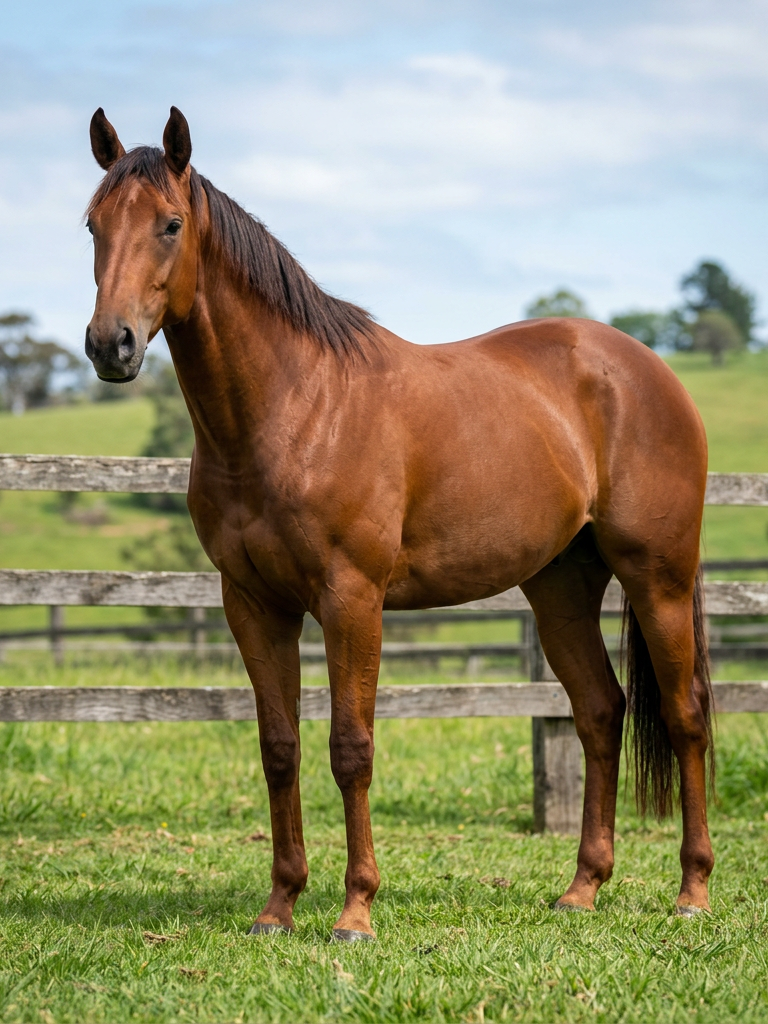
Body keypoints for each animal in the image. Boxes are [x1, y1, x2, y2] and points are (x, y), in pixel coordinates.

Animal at [83, 106, 714, 941]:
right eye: (92, 225)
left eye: (170, 224)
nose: (109, 344)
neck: (297, 407)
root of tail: (648, 370)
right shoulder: (253, 604)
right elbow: (279, 748)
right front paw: (279, 905)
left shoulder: (352, 600)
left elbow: (350, 748)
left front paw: (356, 909)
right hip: (561, 588)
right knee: (600, 712)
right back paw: (582, 887)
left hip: (658, 576)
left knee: (684, 715)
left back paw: (692, 890)